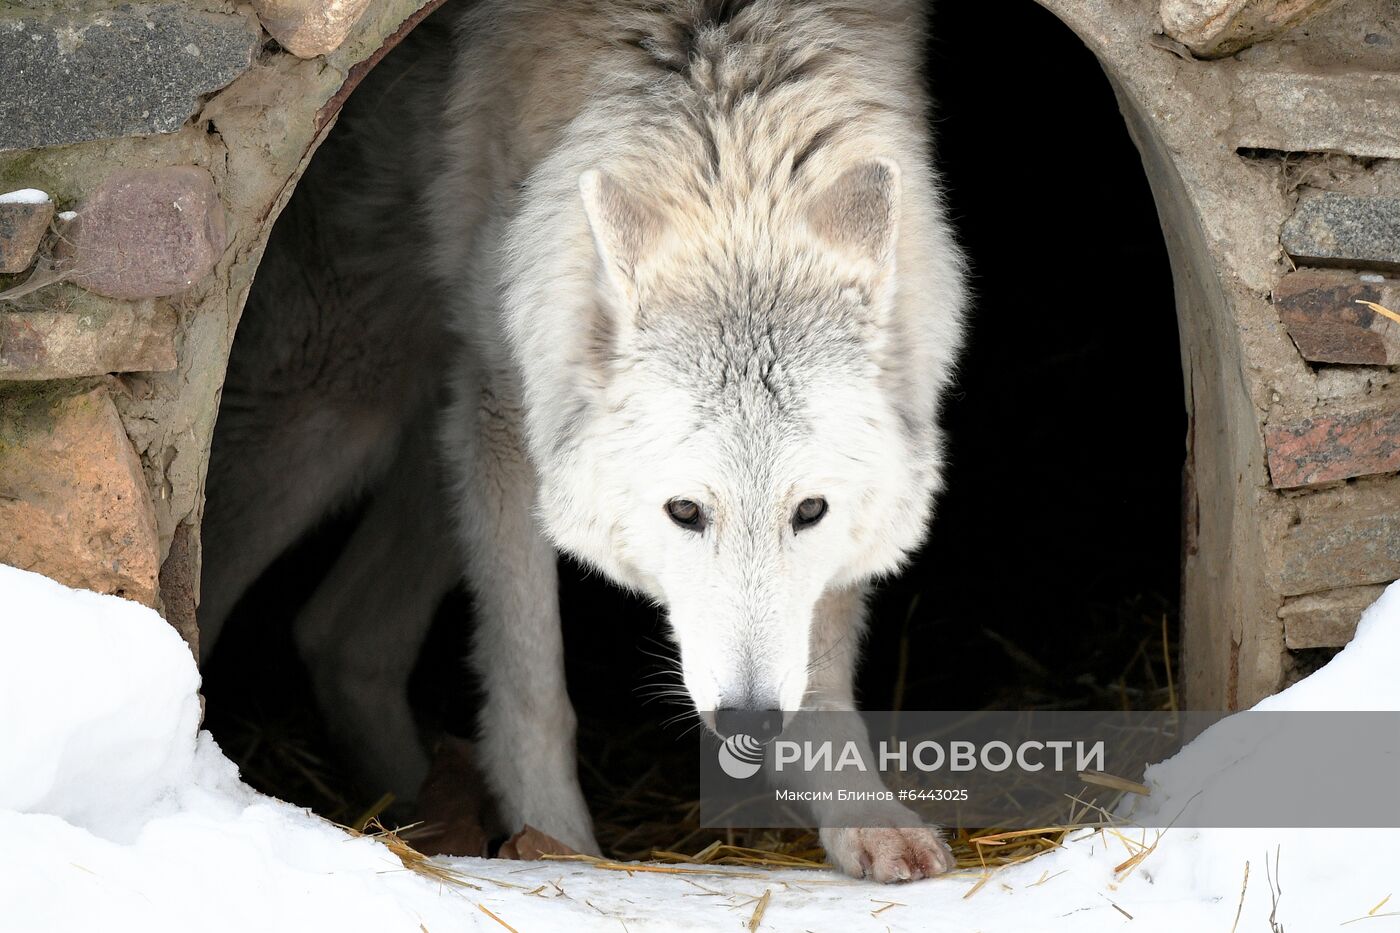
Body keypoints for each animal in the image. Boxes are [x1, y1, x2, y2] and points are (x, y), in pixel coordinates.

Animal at [200, 0, 963, 879]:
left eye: (810, 512)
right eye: (684, 511)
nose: (748, 719)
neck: (720, 67)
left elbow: (825, 672)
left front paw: (862, 817)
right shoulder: (503, 411)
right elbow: (532, 683)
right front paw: (555, 842)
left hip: (436, 439)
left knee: (343, 635)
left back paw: (417, 814)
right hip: (334, 408)